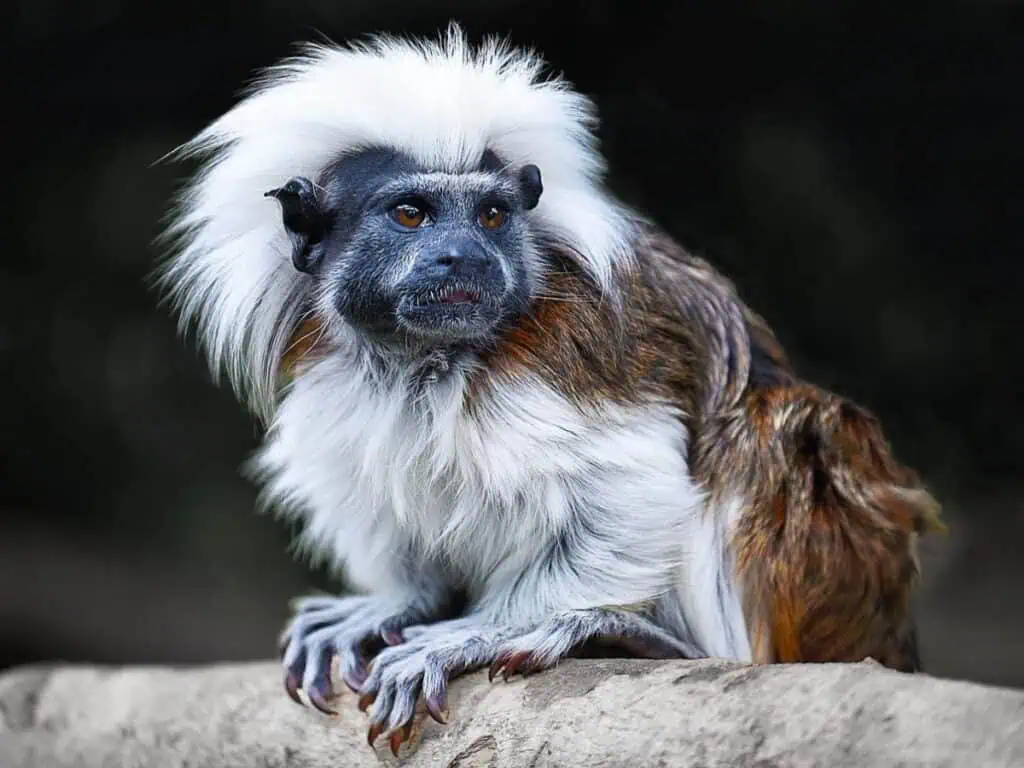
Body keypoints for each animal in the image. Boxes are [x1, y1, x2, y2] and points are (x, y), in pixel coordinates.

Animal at [158, 24, 944, 756]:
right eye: (410, 214)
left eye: (491, 216)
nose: (464, 256)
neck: (428, 362)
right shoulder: (338, 372)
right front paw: (397, 602)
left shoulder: (570, 357)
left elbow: (631, 486)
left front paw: (478, 632)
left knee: (783, 429)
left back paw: (636, 637)